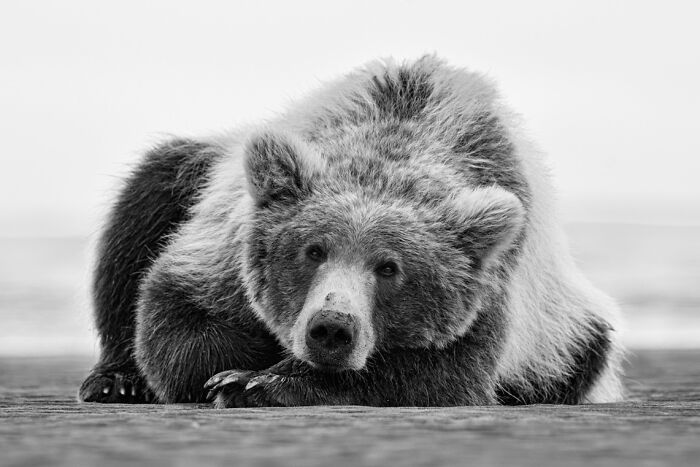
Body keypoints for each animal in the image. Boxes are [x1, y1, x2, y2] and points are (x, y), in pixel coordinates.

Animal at [78, 55, 624, 407]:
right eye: (312, 250)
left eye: (390, 268)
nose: (331, 328)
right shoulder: (221, 250)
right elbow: (174, 320)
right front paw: (241, 367)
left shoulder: (491, 288)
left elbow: (437, 376)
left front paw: (258, 383)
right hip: (198, 167)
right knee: (146, 195)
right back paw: (115, 380)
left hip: (563, 328)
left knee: (583, 350)